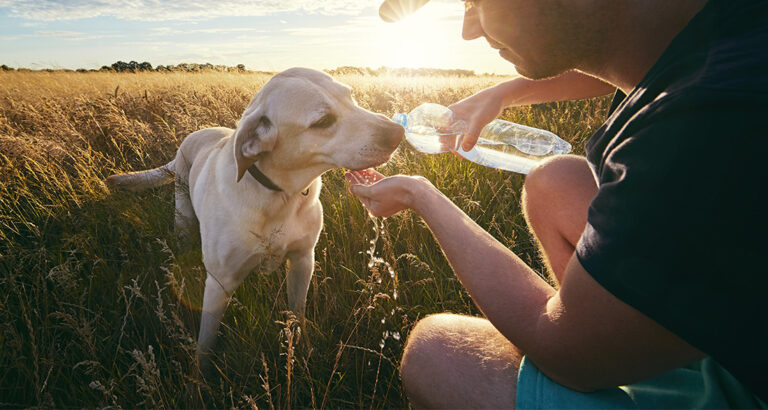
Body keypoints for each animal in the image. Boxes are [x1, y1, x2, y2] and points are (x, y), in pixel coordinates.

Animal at [109, 68, 408, 368]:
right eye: (323, 121)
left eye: (351, 97)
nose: (398, 133)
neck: (280, 196)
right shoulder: (219, 282)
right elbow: (206, 340)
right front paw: (199, 377)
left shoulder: (303, 260)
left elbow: (298, 313)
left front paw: (303, 351)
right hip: (182, 215)